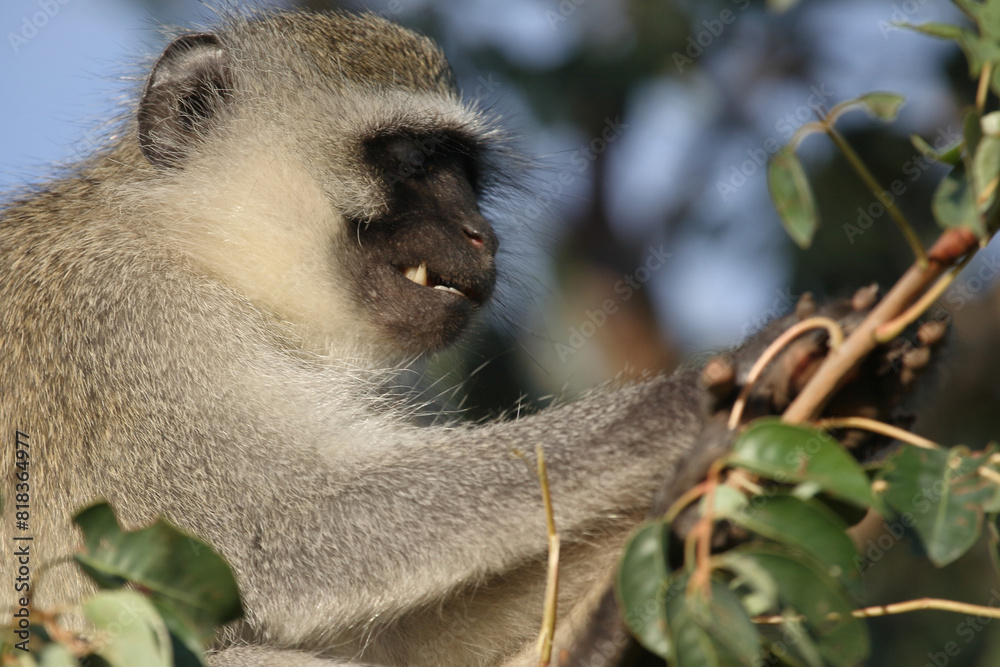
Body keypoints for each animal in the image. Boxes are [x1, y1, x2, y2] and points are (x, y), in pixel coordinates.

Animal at [0, 8, 937, 667]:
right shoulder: (124, 329)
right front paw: (719, 396)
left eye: (470, 175)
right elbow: (290, 526)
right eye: (415, 161)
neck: (203, 250)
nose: (482, 235)